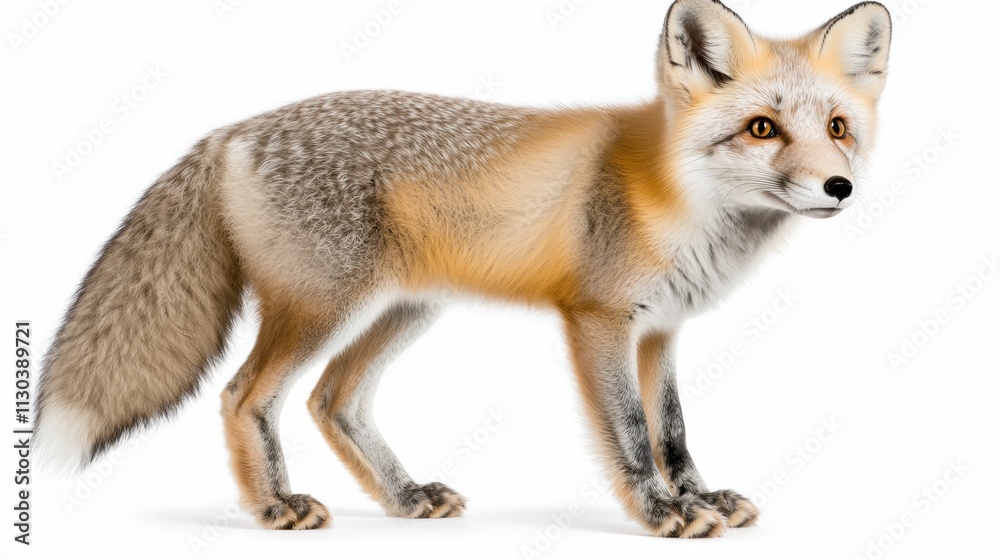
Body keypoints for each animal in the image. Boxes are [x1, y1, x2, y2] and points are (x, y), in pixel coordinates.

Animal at [35, 0, 891, 538]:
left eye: (837, 128)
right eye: (762, 128)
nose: (839, 187)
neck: (678, 201)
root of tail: (231, 130)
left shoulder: (661, 331)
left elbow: (674, 432)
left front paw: (699, 496)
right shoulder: (598, 321)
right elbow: (631, 436)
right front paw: (663, 515)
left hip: (402, 311)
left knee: (332, 401)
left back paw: (404, 497)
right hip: (322, 308)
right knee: (246, 396)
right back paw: (276, 506)